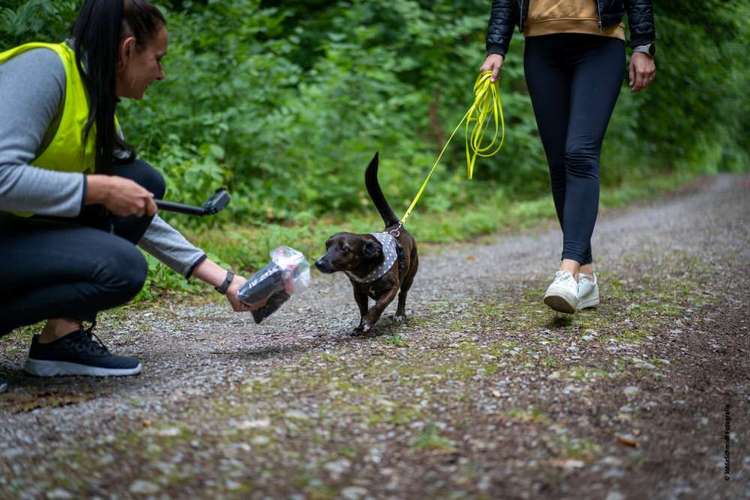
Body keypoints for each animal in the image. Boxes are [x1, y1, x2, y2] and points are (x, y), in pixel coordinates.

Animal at [316, 151, 420, 332]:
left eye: (345, 249)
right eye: (326, 246)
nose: (319, 263)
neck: (364, 270)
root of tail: (395, 226)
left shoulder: (392, 287)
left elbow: (379, 305)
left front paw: (369, 321)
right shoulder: (358, 293)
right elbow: (363, 310)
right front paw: (360, 325)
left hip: (409, 275)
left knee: (403, 294)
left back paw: (400, 314)